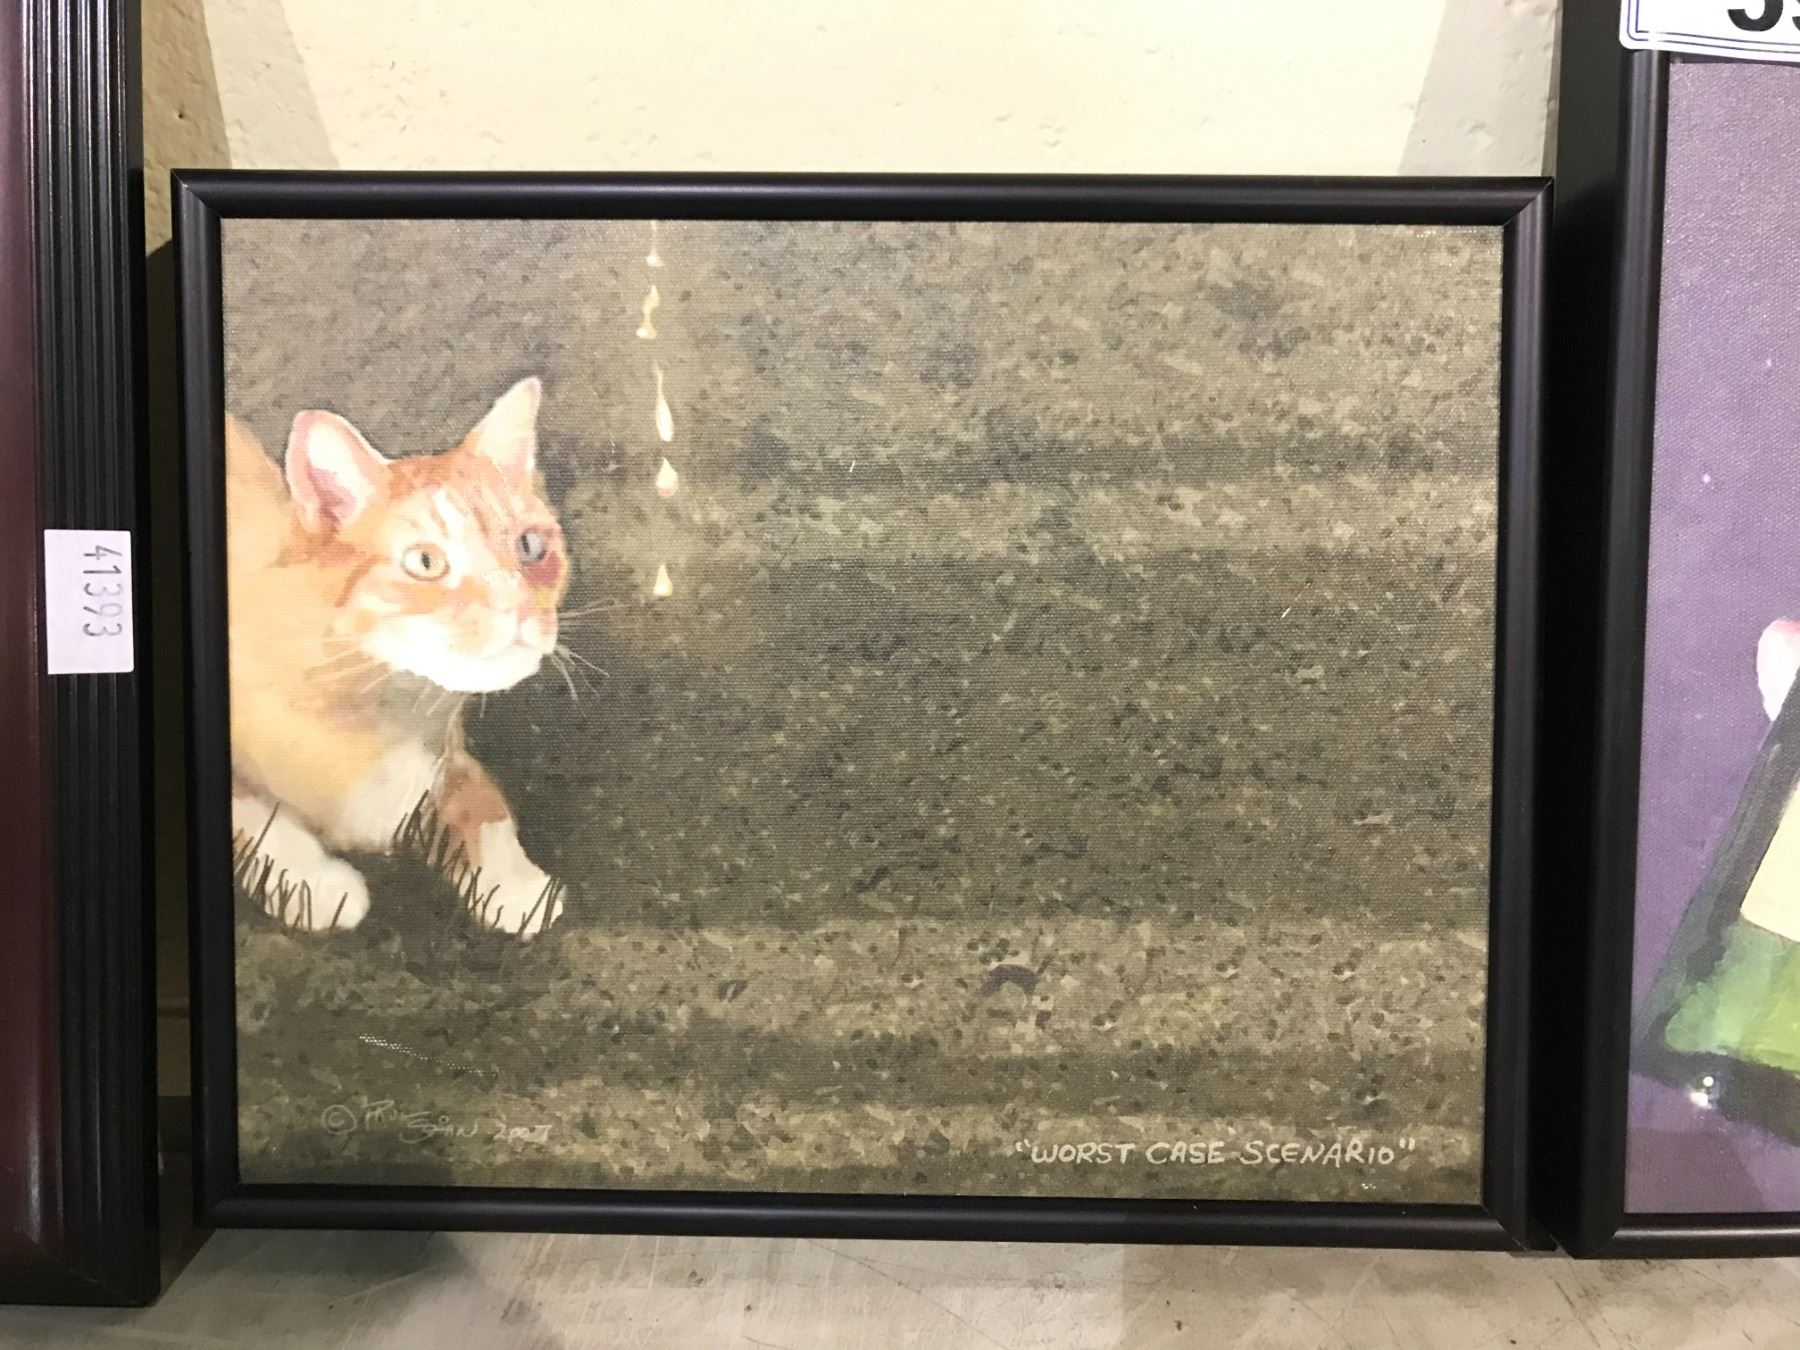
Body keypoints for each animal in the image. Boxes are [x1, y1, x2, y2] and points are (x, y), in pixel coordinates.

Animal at [227, 376, 569, 939]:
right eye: (425, 562)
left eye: (530, 546)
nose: (519, 608)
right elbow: (261, 821)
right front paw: (315, 884)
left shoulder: (446, 755)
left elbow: (482, 804)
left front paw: (514, 883)